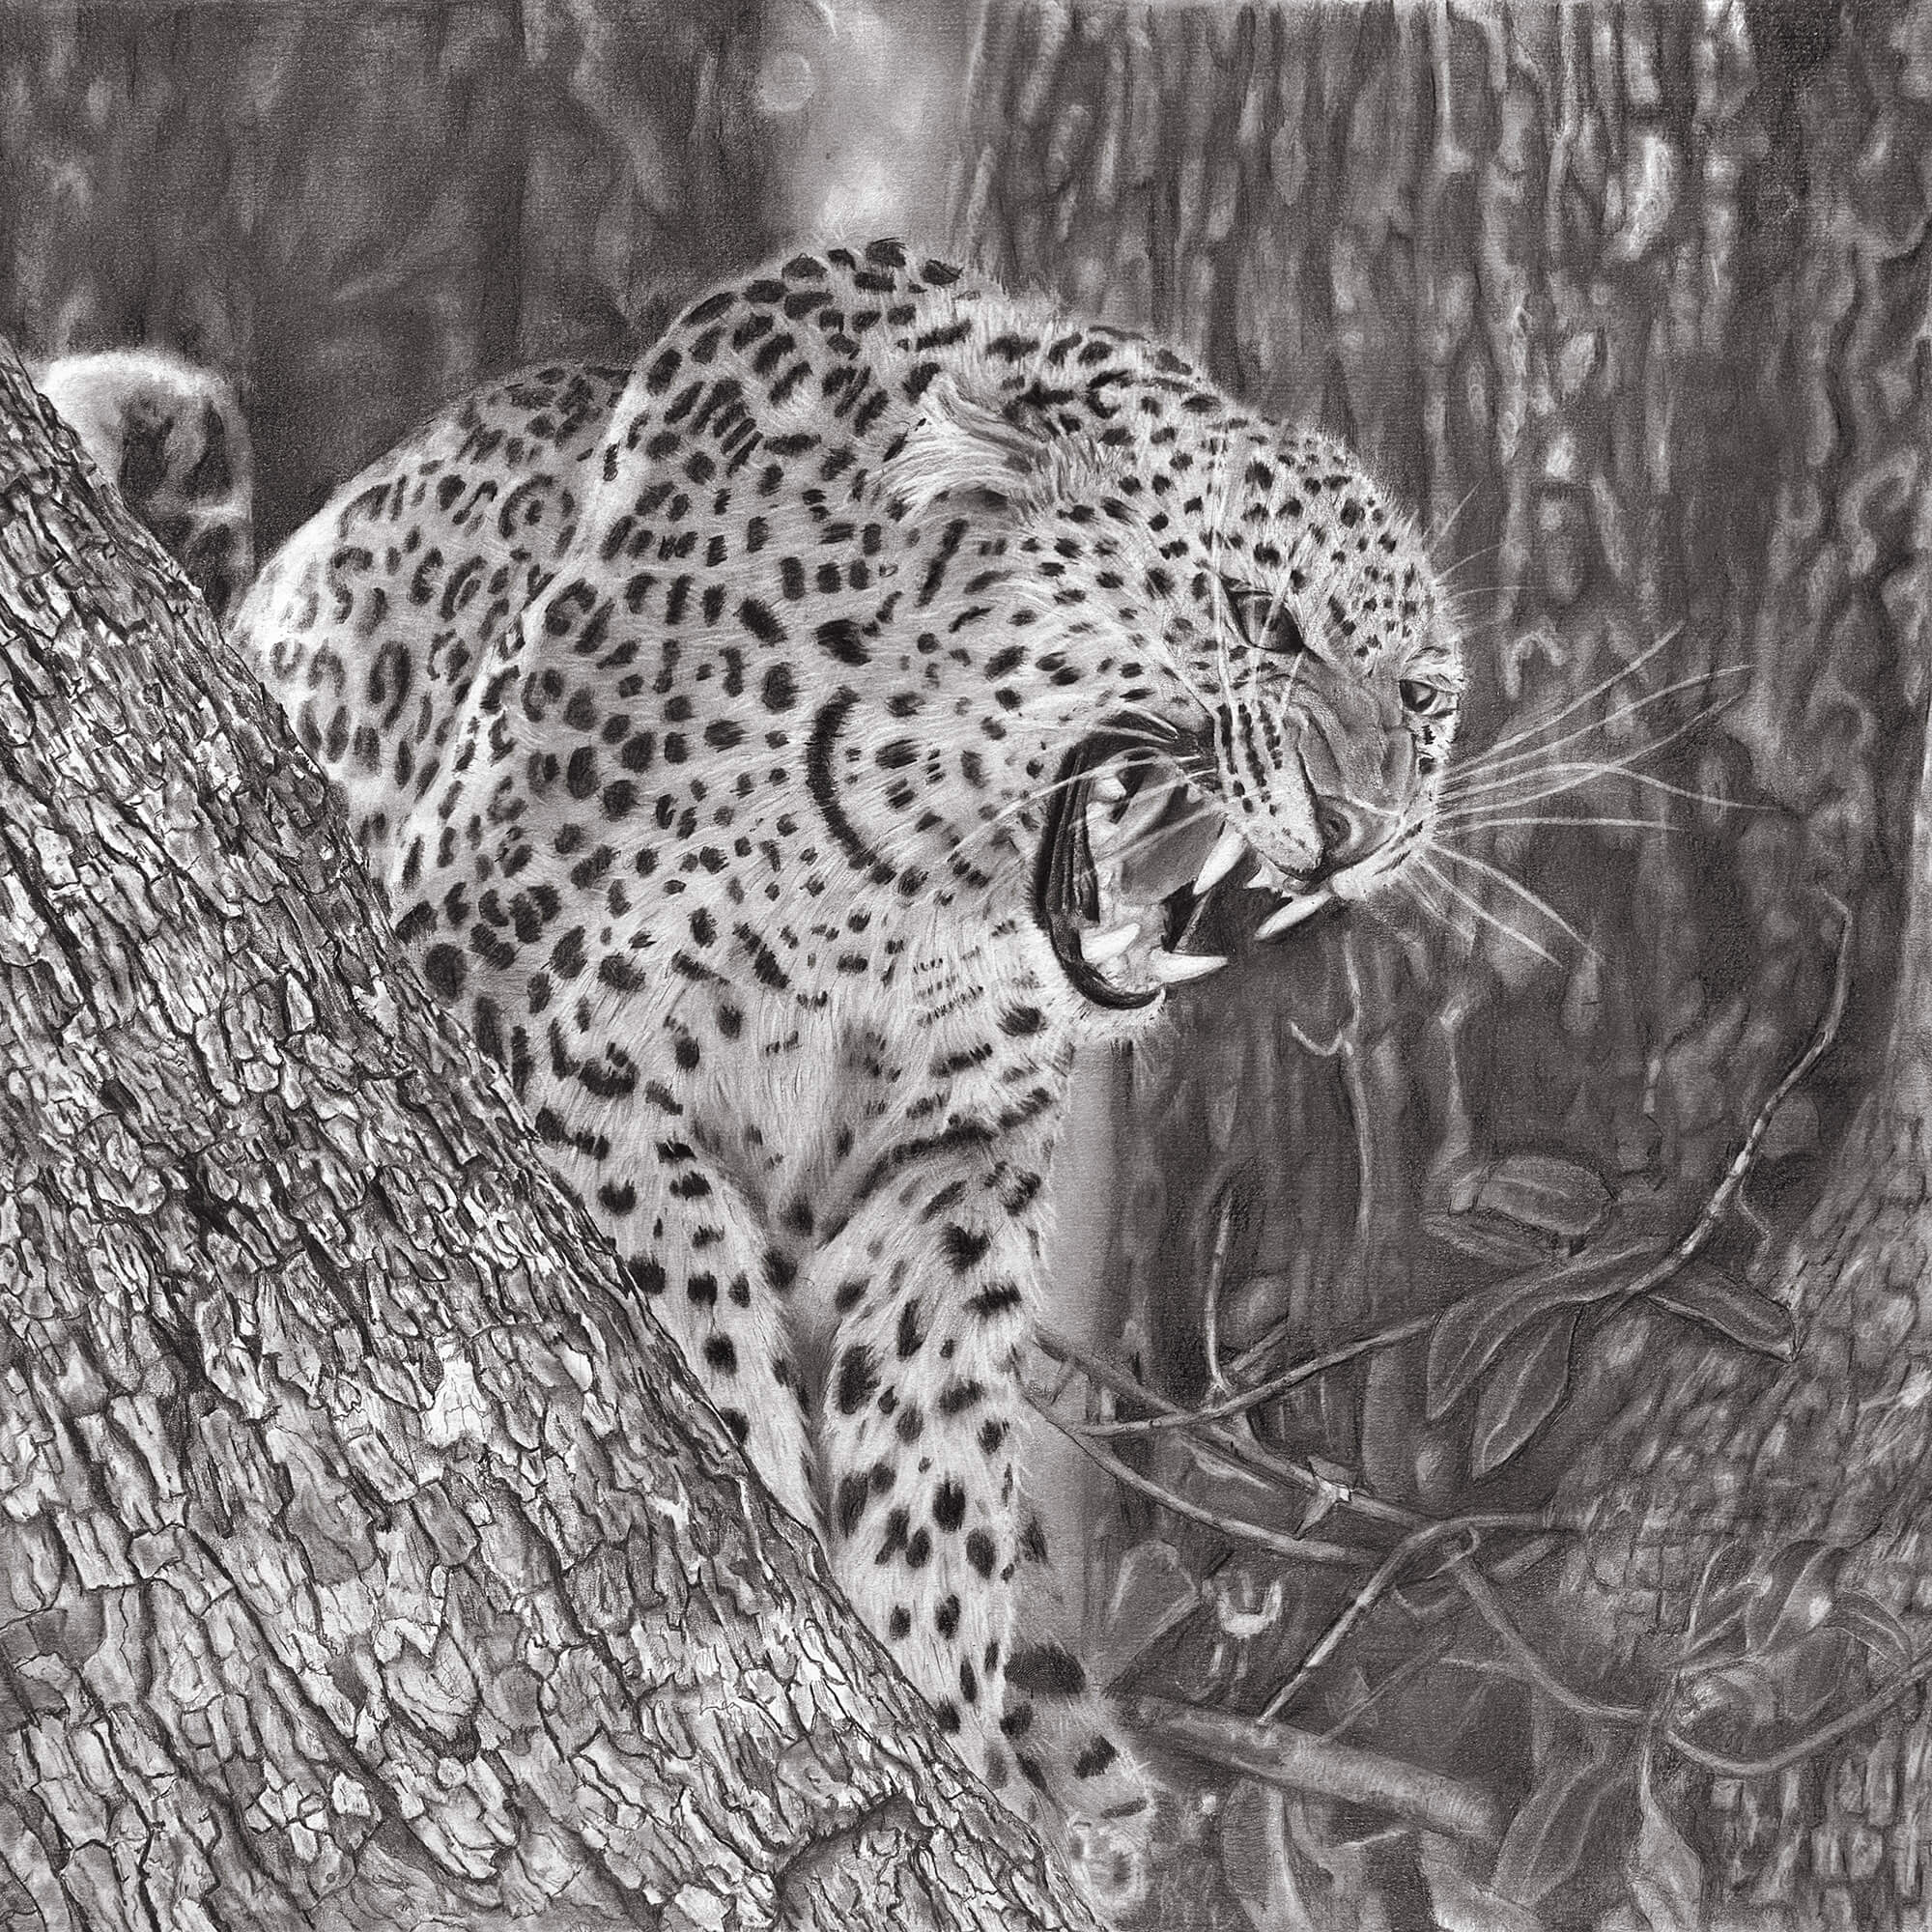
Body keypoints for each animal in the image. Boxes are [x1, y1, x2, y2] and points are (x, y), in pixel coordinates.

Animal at [45, 238, 1463, 1913]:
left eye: (1426, 698)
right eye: (1259, 615)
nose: (1366, 824)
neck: (918, 865)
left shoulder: (956, 1159)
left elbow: (932, 1445)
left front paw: (931, 1693)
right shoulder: (515, 996)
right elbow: (678, 1271)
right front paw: (759, 1471)